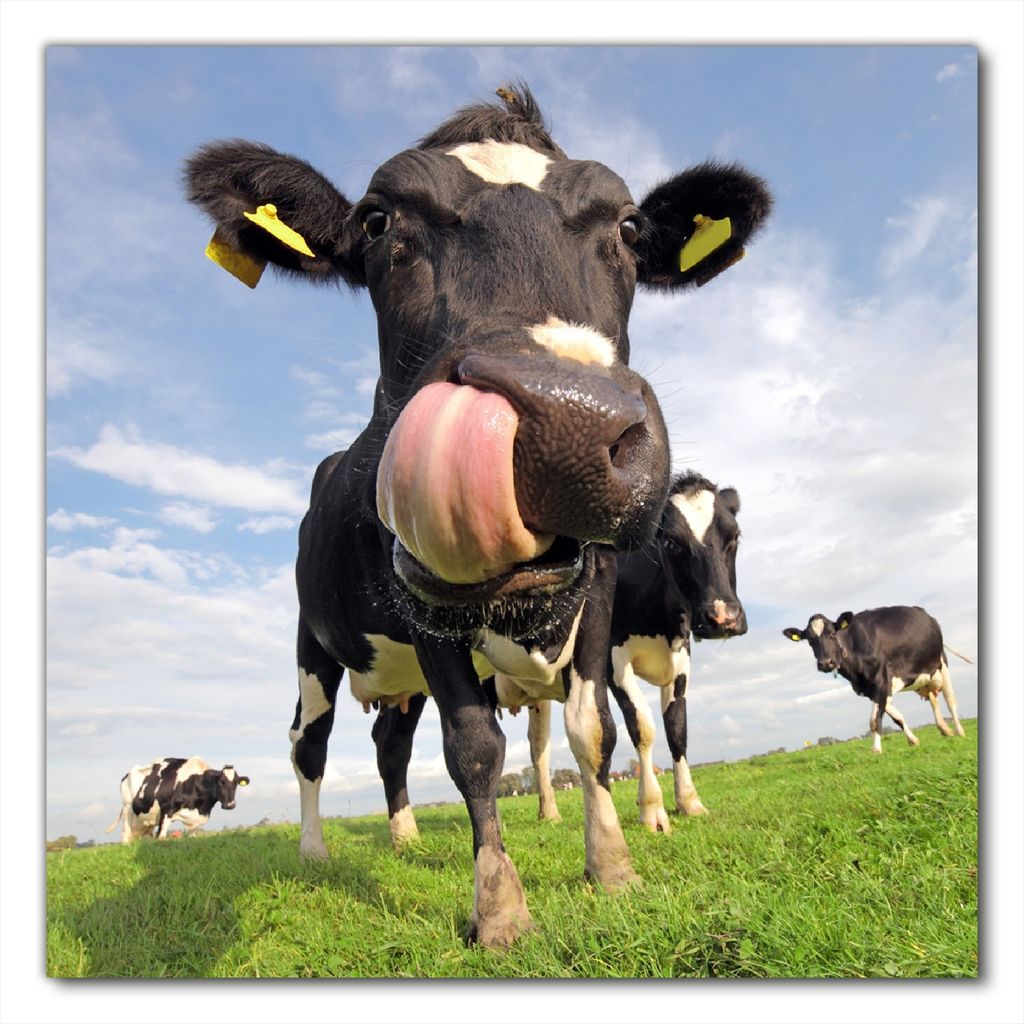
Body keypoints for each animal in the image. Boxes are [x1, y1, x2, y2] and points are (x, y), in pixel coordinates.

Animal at [105, 758, 250, 843]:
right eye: (221, 782)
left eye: (236, 783)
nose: (230, 804)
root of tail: (127, 775)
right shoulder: (166, 808)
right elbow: (161, 836)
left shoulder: (194, 819)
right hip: (127, 810)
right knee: (125, 837)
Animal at [185, 84, 771, 947]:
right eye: (377, 221)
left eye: (630, 228)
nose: (568, 423)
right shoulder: (422, 603)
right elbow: (473, 747)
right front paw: (497, 906)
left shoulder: (598, 598)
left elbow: (593, 730)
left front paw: (612, 866)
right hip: (312, 645)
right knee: (308, 743)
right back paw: (315, 850)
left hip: (397, 680)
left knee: (389, 743)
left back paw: (402, 835)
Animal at [783, 606, 966, 753]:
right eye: (809, 640)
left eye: (833, 634)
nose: (826, 663)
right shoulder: (872, 689)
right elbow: (897, 717)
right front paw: (913, 740)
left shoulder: (881, 682)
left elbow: (874, 720)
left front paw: (876, 749)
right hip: (923, 677)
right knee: (933, 698)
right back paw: (944, 729)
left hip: (941, 663)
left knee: (951, 702)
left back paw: (959, 731)